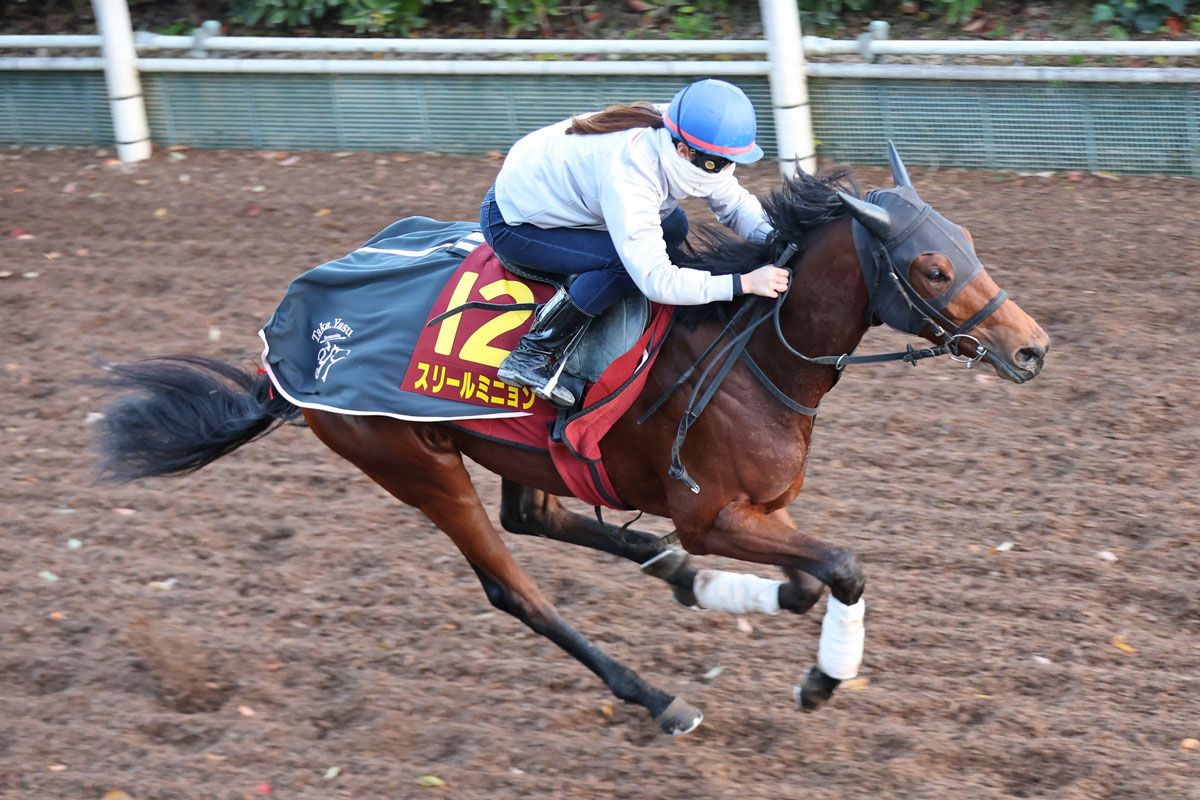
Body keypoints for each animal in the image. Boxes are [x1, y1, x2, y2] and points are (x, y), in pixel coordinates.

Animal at [98, 145, 1046, 738]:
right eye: (931, 268)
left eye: (967, 244)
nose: (1031, 348)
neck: (754, 350)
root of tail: (288, 339)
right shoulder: (711, 514)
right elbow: (843, 568)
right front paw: (821, 678)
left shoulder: (762, 510)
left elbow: (812, 579)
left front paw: (748, 597)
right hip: (413, 463)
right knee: (514, 587)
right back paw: (659, 699)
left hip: (517, 449)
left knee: (539, 518)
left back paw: (684, 583)